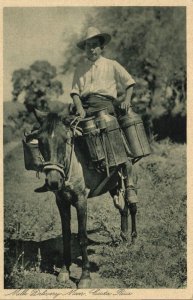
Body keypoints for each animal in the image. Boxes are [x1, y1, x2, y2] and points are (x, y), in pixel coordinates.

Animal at [26, 107, 137, 288]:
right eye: (41, 141)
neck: (71, 168)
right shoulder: (61, 202)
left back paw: (133, 240)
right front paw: (64, 271)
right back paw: (124, 238)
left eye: (65, 140)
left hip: (129, 176)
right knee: (123, 209)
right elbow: (65, 236)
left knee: (132, 206)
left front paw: (85, 277)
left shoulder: (81, 201)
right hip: (113, 185)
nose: (53, 182)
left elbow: (83, 237)